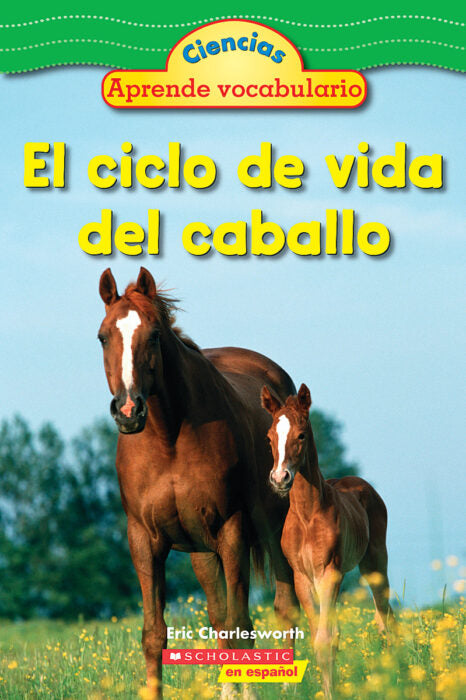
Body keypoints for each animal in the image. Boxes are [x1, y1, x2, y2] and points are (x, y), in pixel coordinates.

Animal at [97, 267, 299, 699]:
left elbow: (242, 628)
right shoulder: (144, 539)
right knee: (219, 616)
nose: (128, 410)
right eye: (104, 336)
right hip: (202, 553)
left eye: (154, 335)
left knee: (284, 605)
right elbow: (155, 635)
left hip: (273, 530)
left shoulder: (231, 530)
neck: (169, 437)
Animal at [261, 382, 393, 698]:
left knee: (385, 613)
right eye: (269, 437)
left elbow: (325, 640)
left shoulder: (328, 572)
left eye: (301, 434)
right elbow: (321, 639)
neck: (307, 515)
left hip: (375, 563)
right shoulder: (302, 577)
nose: (280, 478)